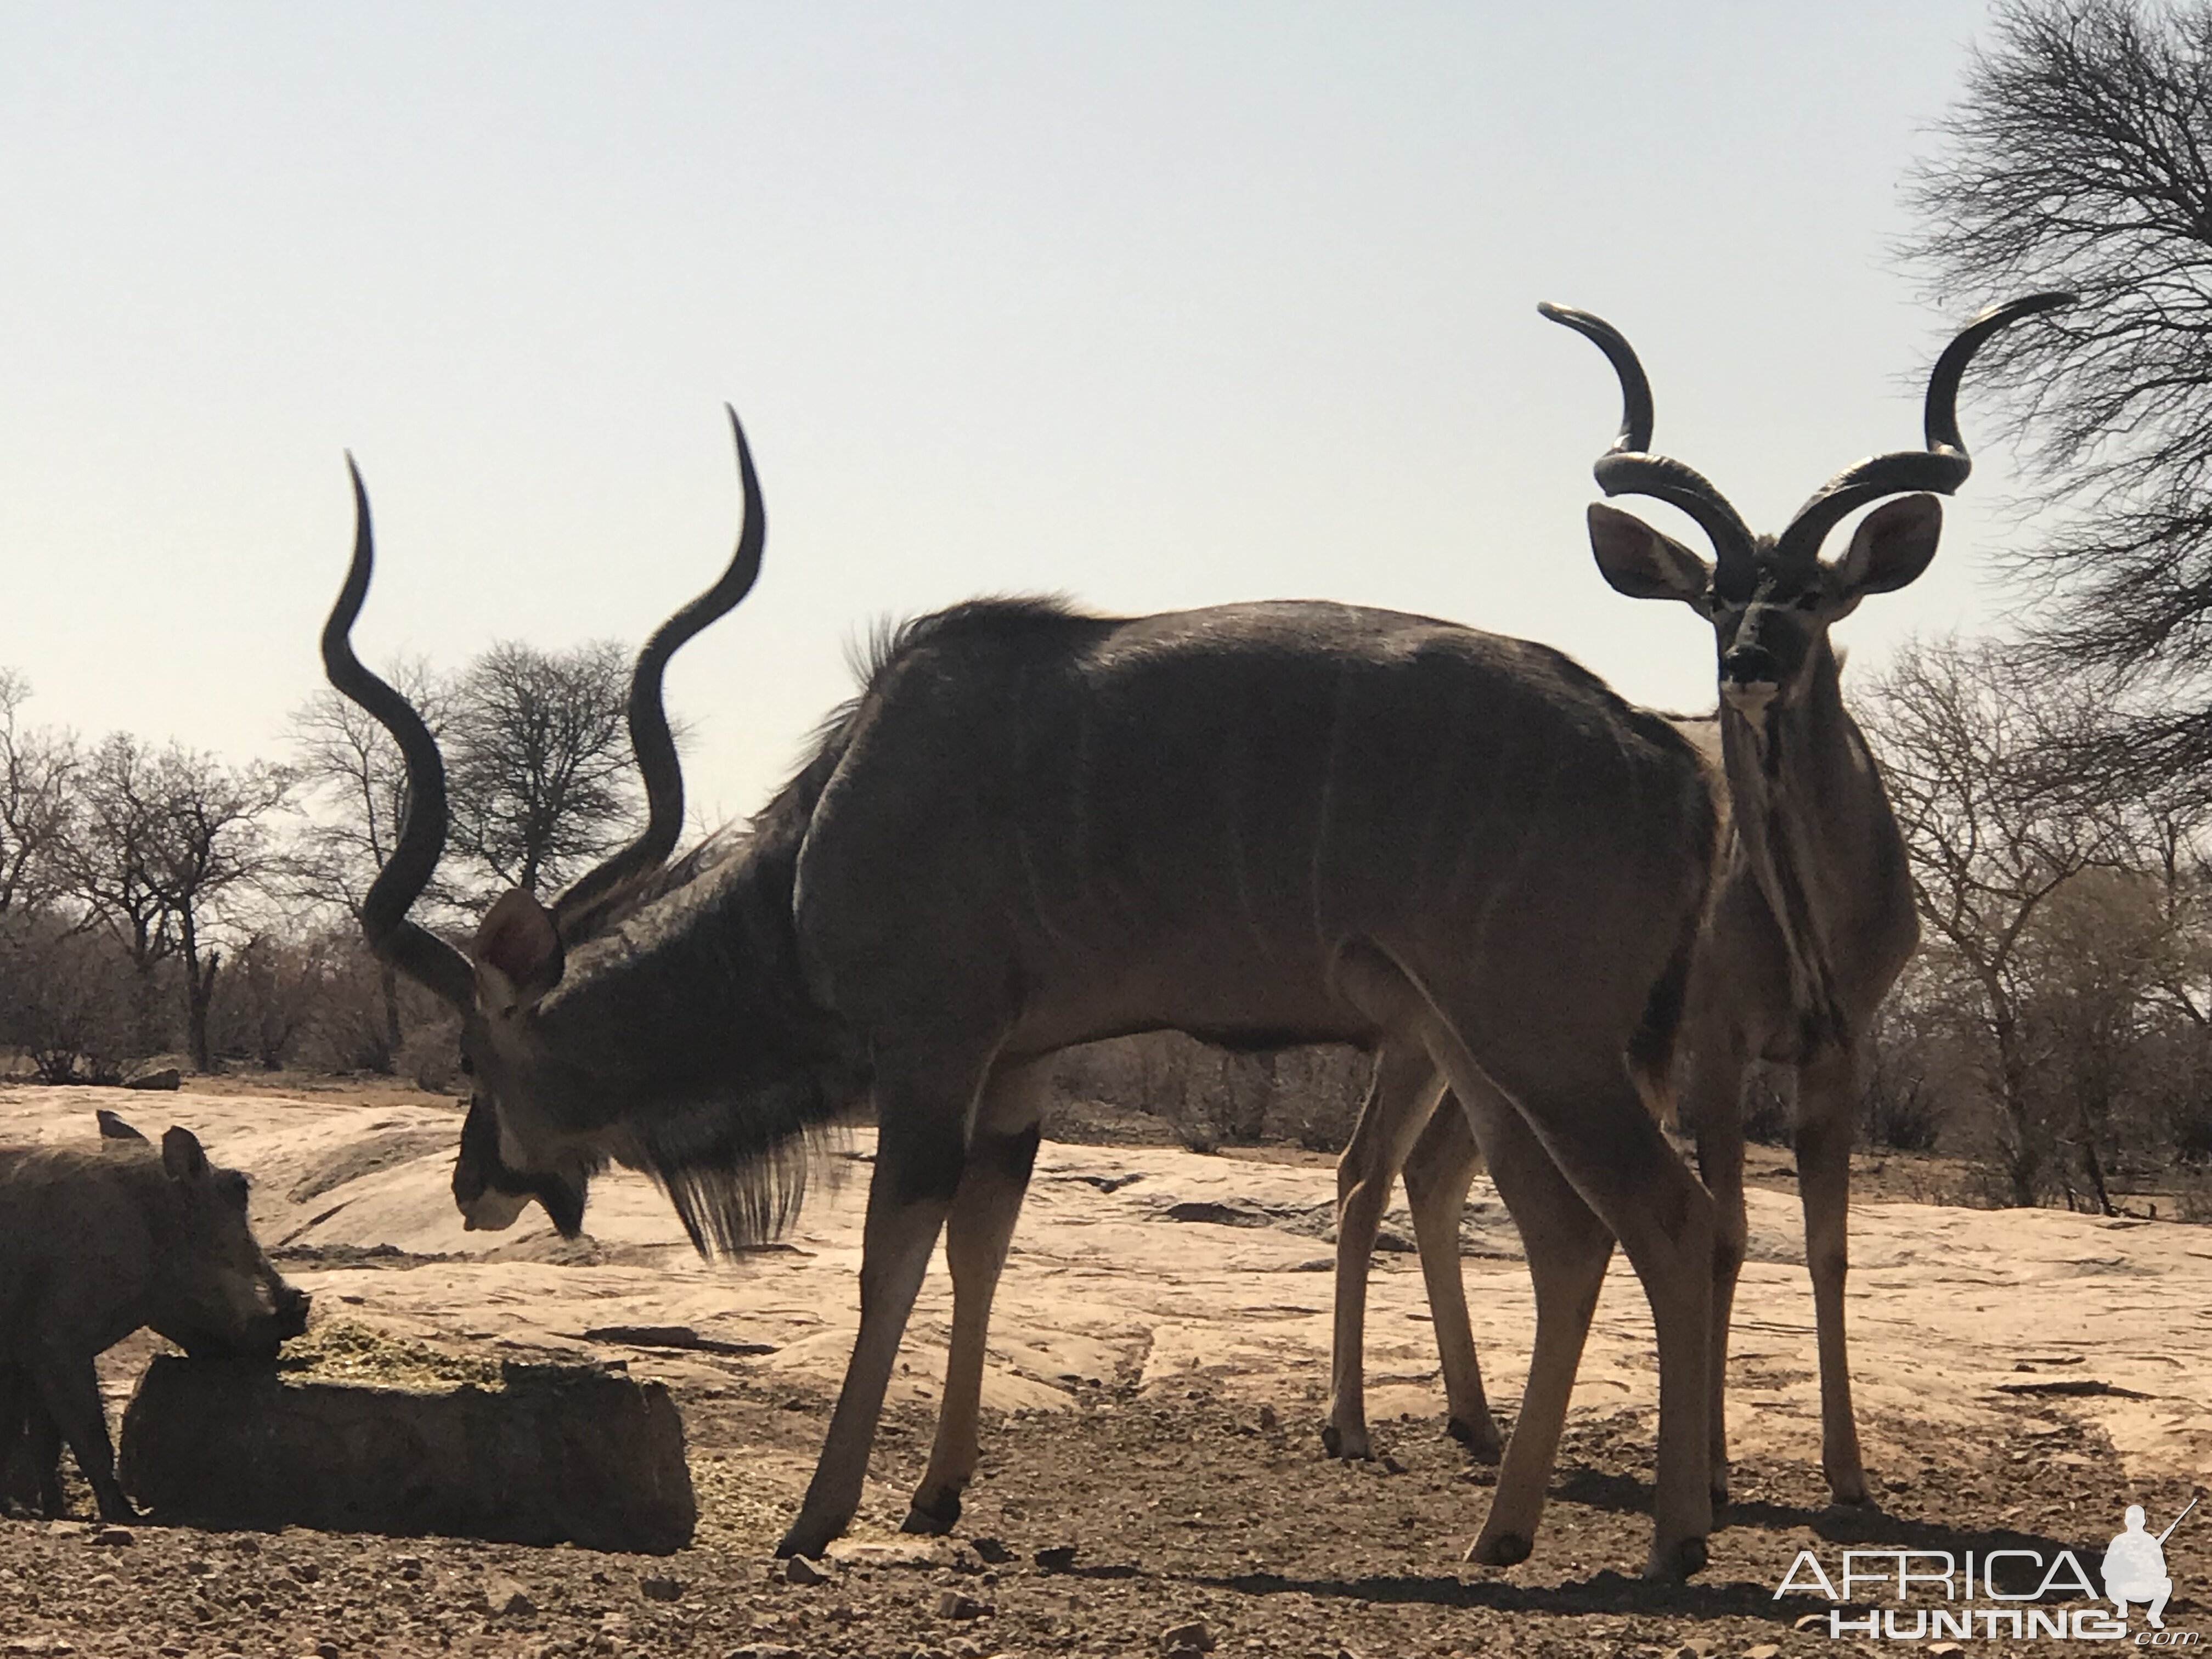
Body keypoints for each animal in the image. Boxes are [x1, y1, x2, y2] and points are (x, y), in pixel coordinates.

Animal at [327, 413, 1716, 1575]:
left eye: (474, 1059)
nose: (474, 1183)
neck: (820, 846)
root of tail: (1662, 757)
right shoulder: (1019, 1066)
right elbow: (981, 1243)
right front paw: (936, 1495)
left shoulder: (931, 1051)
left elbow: (891, 1253)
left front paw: (817, 1515)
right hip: (1488, 1056)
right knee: (1570, 1231)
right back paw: (1508, 1530)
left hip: (1538, 1048)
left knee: (1672, 1212)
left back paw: (1672, 1543)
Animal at [1309, 292, 2070, 1513]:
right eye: (1717, 594)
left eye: (1810, 592)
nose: (1748, 663)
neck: (1803, 914)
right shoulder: (1715, 1049)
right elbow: (1725, 1230)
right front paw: (1709, 1472)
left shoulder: (1836, 1049)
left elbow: (1826, 1243)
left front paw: (1849, 1478)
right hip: (1448, 1039)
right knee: (1365, 1172)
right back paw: (1350, 1424)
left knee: (1428, 1174)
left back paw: (1477, 1420)